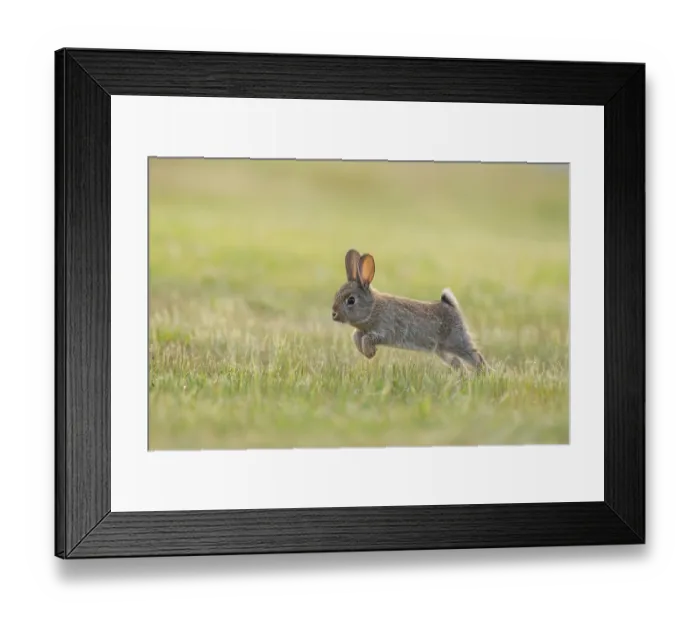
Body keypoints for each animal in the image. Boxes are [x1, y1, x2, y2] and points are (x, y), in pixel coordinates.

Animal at [331, 249, 489, 373]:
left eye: (351, 300)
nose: (334, 314)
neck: (373, 307)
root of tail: (450, 305)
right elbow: (356, 336)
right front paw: (368, 353)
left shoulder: (386, 329)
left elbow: (367, 338)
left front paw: (370, 352)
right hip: (442, 350)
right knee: (457, 362)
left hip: (456, 341)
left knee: (475, 356)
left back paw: (485, 374)